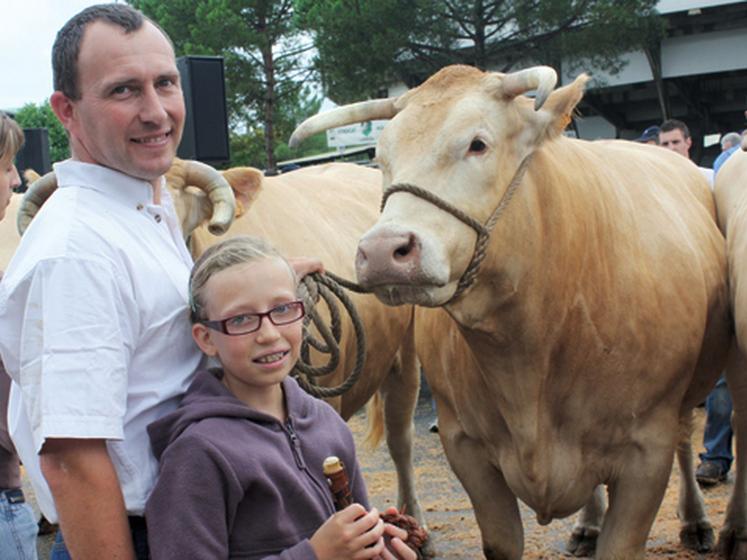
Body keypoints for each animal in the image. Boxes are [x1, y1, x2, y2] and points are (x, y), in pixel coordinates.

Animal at [290, 63, 740, 556]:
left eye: (478, 144)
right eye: (383, 161)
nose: (382, 251)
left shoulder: (647, 451)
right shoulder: (464, 445)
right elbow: (503, 541)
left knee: (690, 439)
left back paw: (699, 522)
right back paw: (588, 524)